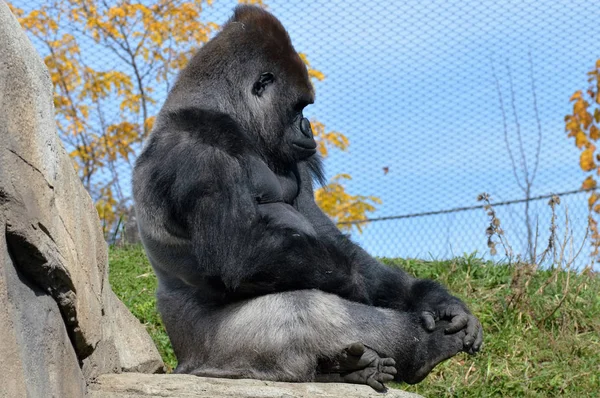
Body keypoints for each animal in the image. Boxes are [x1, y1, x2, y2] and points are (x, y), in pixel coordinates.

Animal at [132, 5, 482, 392]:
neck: (222, 111)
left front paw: (433, 299)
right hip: (216, 355)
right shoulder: (197, 150)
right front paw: (357, 284)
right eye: (299, 108)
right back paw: (420, 349)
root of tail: (185, 363)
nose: (308, 127)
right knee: (303, 309)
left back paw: (352, 368)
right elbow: (241, 251)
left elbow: (324, 232)